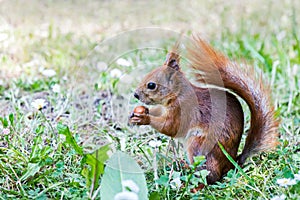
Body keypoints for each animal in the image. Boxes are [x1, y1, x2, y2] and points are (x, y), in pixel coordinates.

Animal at [128, 36, 278, 184]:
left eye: (151, 85)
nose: (135, 95)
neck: (178, 94)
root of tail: (232, 164)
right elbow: (159, 112)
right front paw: (139, 112)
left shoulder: (183, 110)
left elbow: (170, 127)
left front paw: (144, 118)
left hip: (199, 147)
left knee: (211, 176)